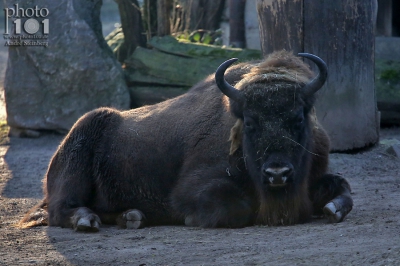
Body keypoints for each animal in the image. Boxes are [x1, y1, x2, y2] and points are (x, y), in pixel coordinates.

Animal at [18, 51, 352, 232]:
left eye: (298, 119)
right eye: (250, 122)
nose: (277, 174)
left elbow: (342, 187)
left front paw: (332, 209)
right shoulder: (193, 188)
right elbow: (236, 207)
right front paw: (191, 218)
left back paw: (132, 216)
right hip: (75, 166)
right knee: (60, 209)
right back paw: (88, 221)